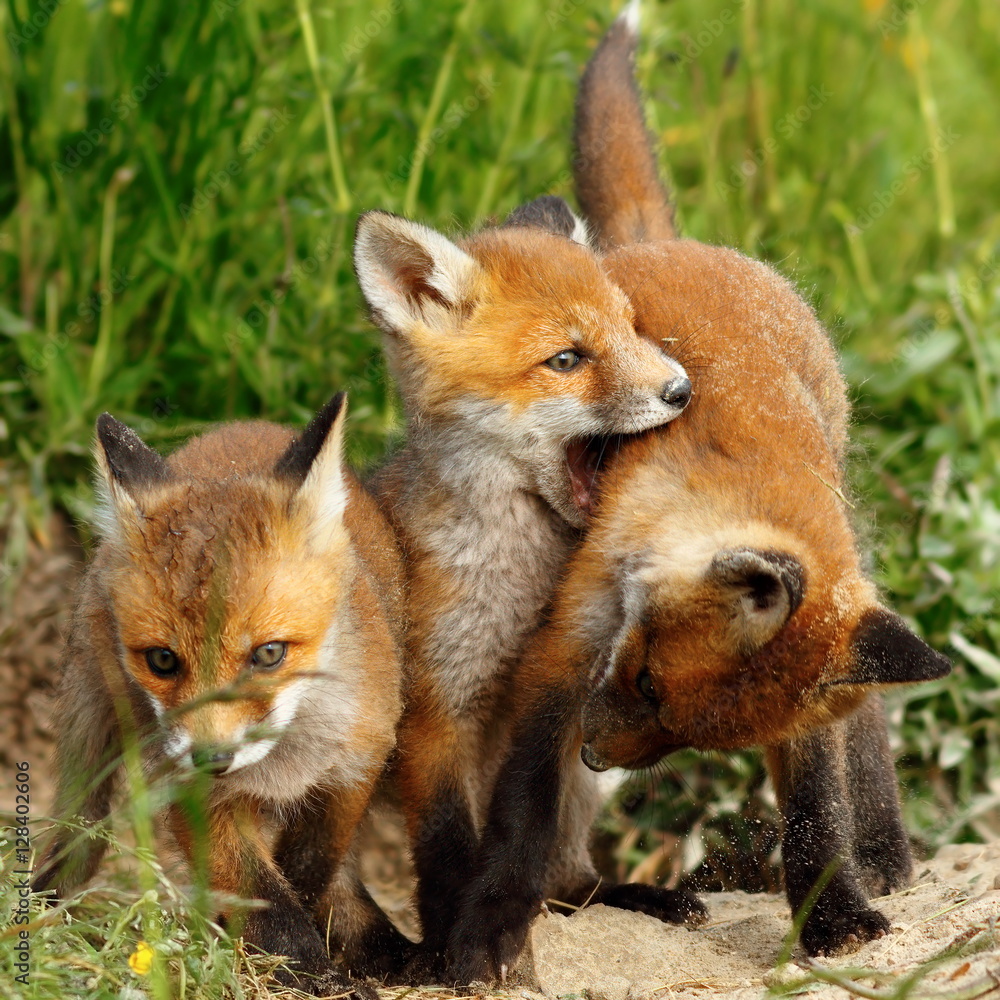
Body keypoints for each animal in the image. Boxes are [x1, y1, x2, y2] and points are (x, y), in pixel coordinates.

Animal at [32, 394, 408, 997]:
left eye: (269, 654)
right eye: (162, 660)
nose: (212, 758)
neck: (284, 763)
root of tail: (242, 426)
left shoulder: (355, 767)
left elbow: (312, 867)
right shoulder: (196, 794)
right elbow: (266, 900)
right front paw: (307, 970)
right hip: (88, 728)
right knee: (76, 834)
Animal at [353, 205, 696, 968]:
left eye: (631, 326)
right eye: (566, 360)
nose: (682, 390)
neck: (519, 587)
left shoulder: (567, 681)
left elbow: (530, 821)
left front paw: (492, 927)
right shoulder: (438, 702)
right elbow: (447, 845)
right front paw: (451, 945)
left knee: (572, 876)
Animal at [446, 5, 951, 982]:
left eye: (691, 732)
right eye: (641, 677)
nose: (595, 753)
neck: (738, 469)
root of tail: (652, 242)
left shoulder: (803, 711)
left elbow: (817, 811)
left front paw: (834, 915)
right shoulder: (567, 639)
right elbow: (524, 804)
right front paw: (492, 924)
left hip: (861, 612)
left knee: (866, 727)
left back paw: (884, 857)